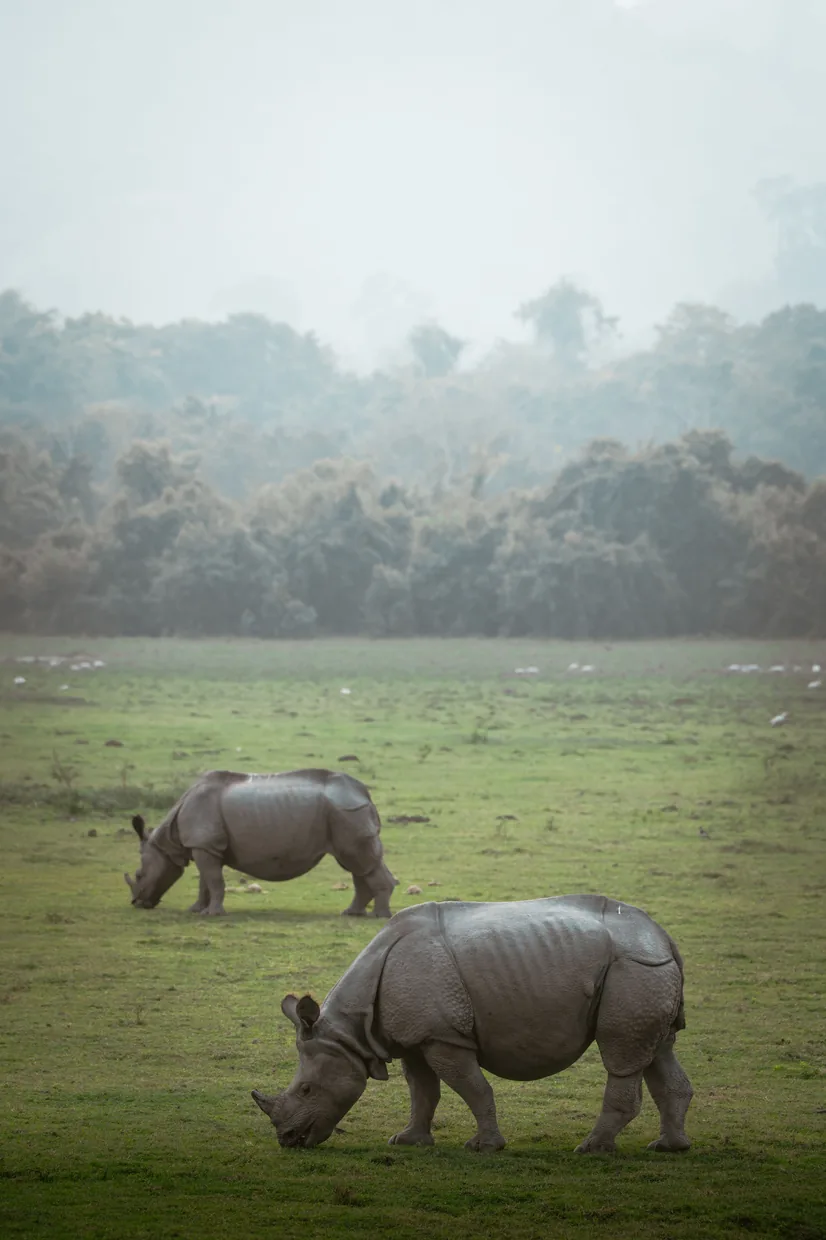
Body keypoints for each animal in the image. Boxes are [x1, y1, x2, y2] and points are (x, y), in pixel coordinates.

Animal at [124, 768, 397, 917]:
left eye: (138, 875)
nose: (137, 904)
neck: (167, 840)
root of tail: (363, 793)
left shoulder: (203, 845)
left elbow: (214, 881)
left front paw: (213, 915)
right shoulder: (205, 845)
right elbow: (206, 882)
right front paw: (196, 910)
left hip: (347, 811)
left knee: (358, 861)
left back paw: (379, 916)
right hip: (346, 812)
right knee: (357, 865)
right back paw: (352, 914)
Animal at [252, 894, 693, 1154]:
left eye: (307, 1089)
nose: (287, 1140)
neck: (350, 1032)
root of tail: (663, 937)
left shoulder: (445, 1036)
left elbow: (472, 1088)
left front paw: (484, 1147)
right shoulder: (415, 1037)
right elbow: (422, 1091)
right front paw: (408, 1141)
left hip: (634, 967)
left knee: (622, 1055)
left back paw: (590, 1149)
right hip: (647, 969)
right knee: (658, 1051)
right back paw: (669, 1147)